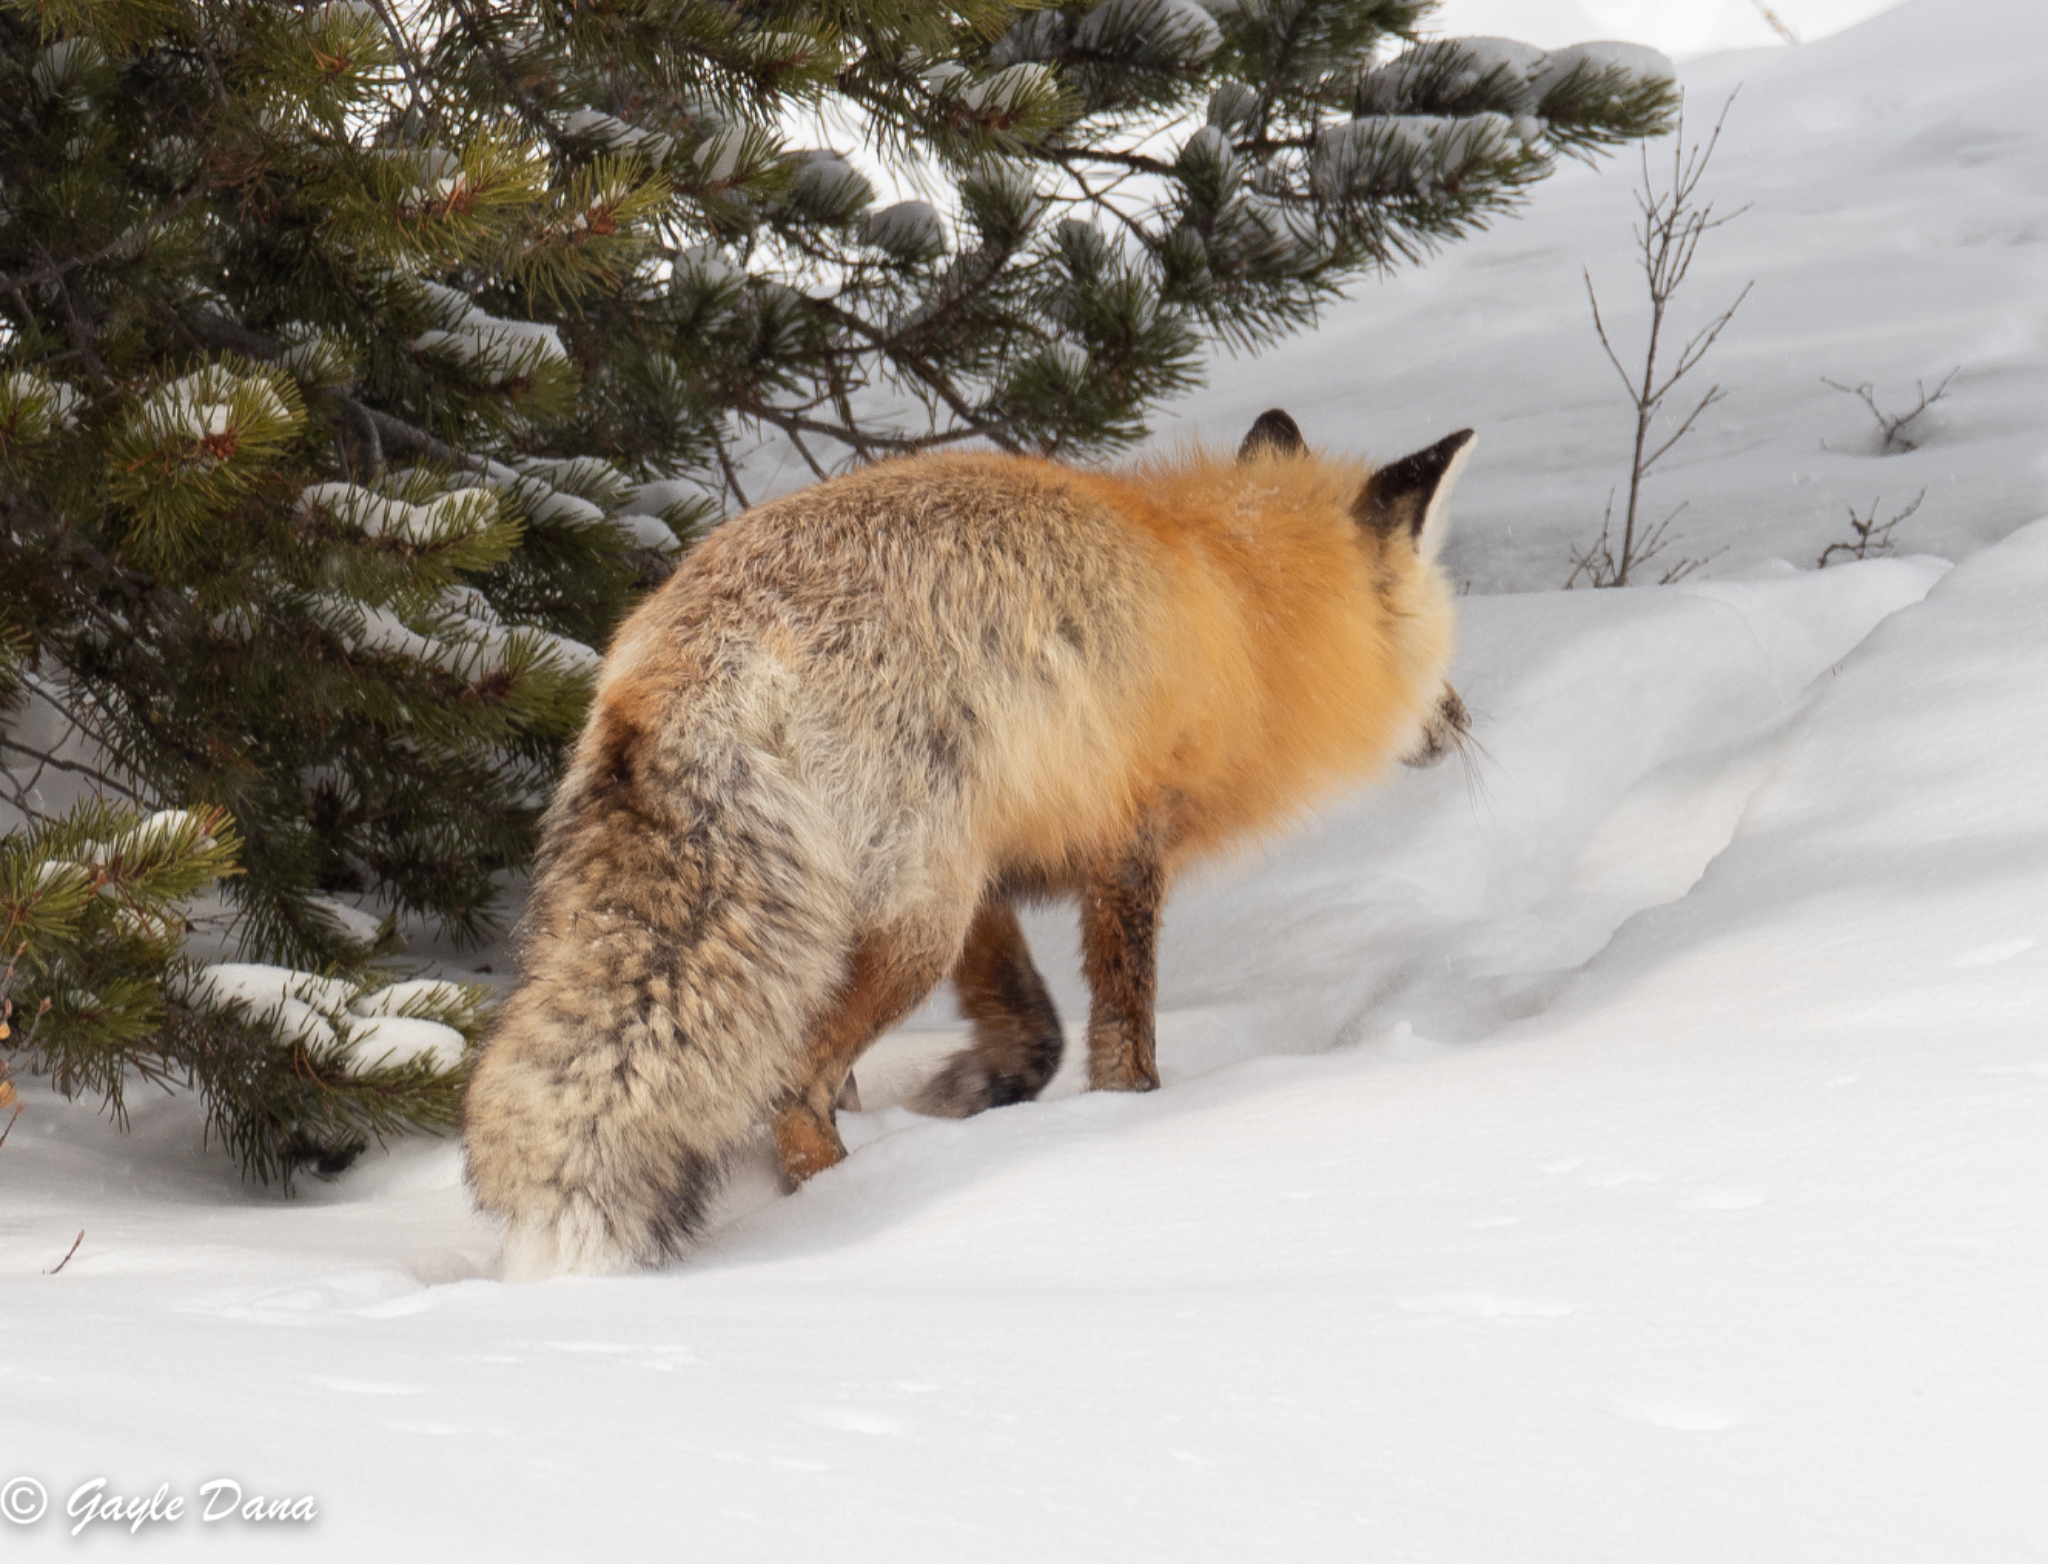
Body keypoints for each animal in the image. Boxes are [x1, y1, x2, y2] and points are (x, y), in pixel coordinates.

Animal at [462, 408, 1475, 1278]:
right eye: (1446, 645)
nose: (1466, 719)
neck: (1240, 599)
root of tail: (703, 644)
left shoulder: (990, 867)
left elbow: (1036, 1028)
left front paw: (974, 1092)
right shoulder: (1126, 848)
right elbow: (1123, 1037)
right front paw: (1126, 1125)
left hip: (893, 901)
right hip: (909, 928)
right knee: (789, 1084)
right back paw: (851, 1201)